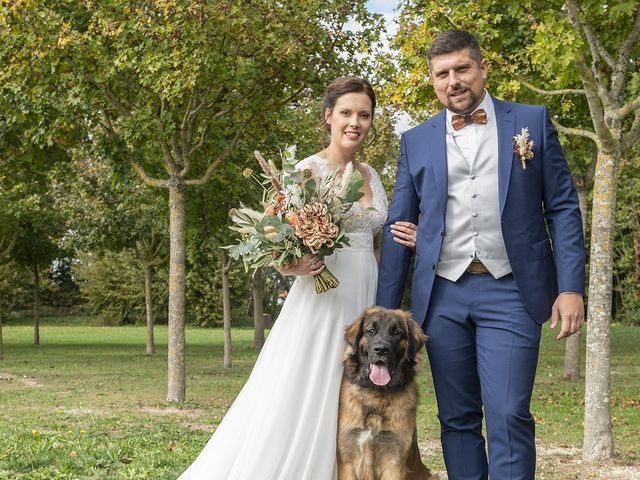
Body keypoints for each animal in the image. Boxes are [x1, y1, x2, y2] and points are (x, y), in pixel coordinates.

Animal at [336, 308, 436, 480]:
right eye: (371, 330)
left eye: (396, 332)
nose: (381, 349)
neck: (376, 394)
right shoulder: (347, 457)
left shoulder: (393, 460)